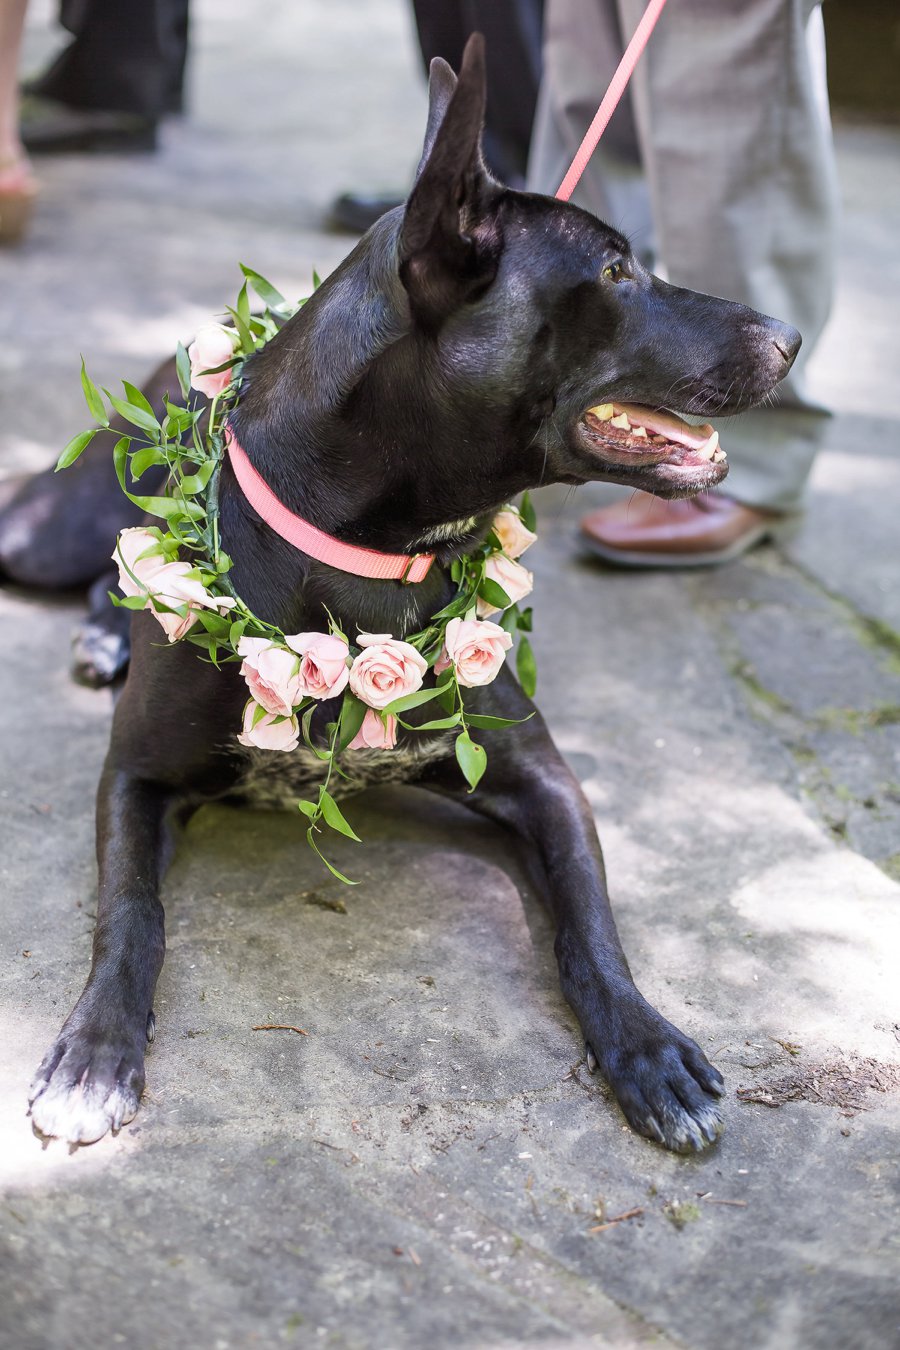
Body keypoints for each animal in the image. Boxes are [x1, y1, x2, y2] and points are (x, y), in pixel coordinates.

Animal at [1, 42, 804, 1155]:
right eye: (614, 273)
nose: (792, 336)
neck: (369, 556)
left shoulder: (543, 779)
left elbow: (593, 927)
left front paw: (648, 1046)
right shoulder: (135, 778)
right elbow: (130, 916)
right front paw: (92, 1056)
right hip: (40, 535)